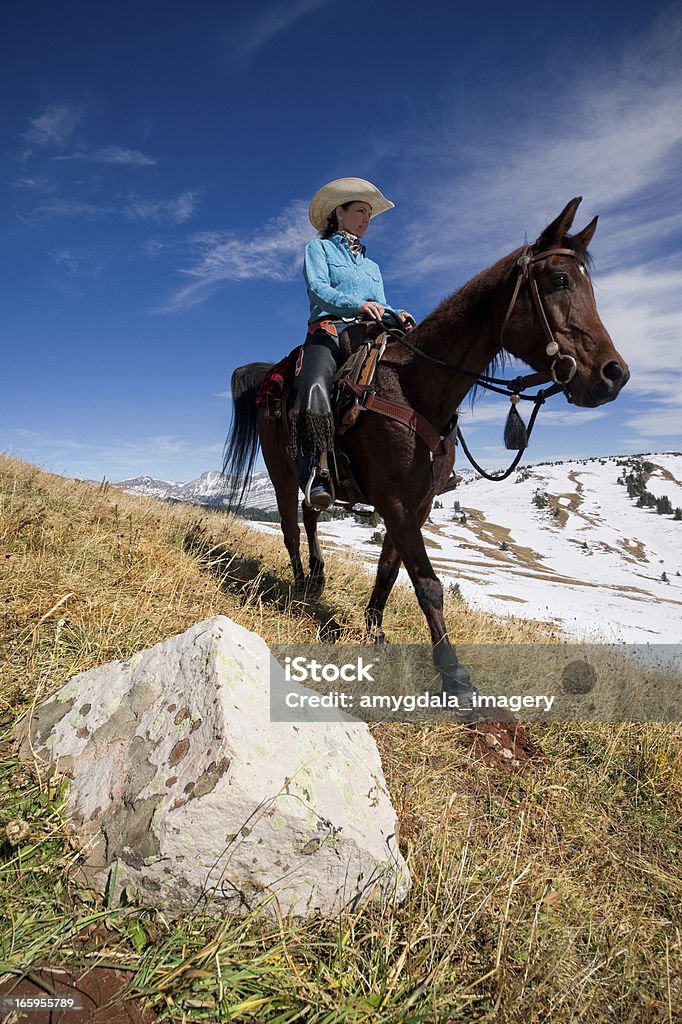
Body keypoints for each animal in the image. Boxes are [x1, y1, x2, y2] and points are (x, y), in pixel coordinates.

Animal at [223, 196, 626, 700]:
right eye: (558, 279)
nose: (614, 374)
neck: (417, 388)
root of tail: (271, 375)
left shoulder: (419, 503)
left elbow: (390, 570)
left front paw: (375, 632)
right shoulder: (394, 500)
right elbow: (428, 582)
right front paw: (453, 673)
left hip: (316, 476)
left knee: (312, 512)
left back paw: (316, 578)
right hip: (279, 469)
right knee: (291, 527)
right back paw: (299, 584)